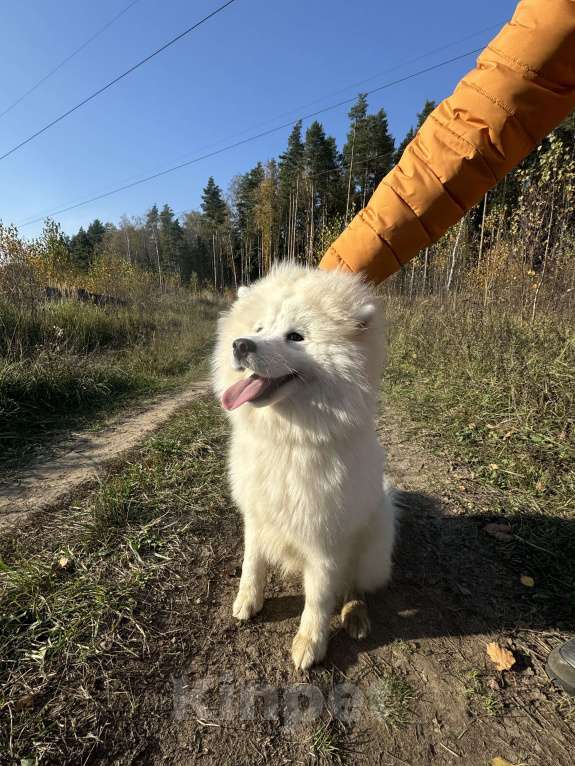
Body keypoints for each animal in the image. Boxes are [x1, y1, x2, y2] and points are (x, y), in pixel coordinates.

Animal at [214, 266, 398, 672]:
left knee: (354, 586)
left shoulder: (325, 539)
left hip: (373, 545)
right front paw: (247, 602)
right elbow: (252, 565)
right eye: (260, 327)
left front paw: (310, 645)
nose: (240, 344)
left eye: (296, 336)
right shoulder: (256, 518)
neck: (288, 440)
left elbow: (317, 598)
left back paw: (355, 614)